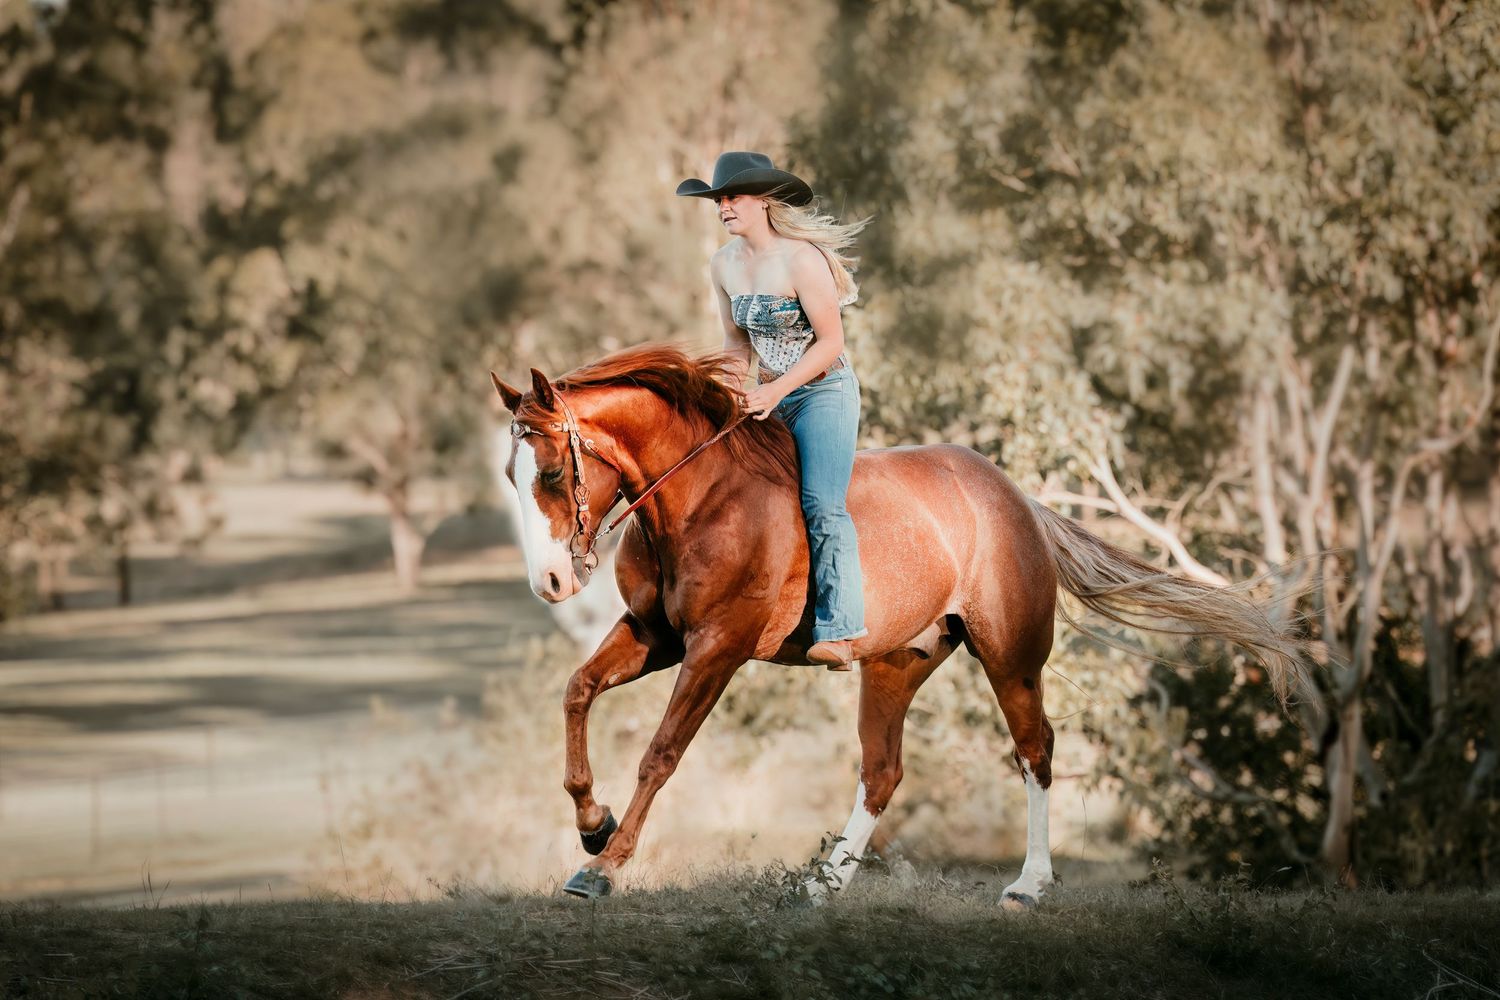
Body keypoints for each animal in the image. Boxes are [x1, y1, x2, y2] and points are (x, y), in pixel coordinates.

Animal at [491, 344, 1307, 907]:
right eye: (510, 476)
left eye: (553, 473)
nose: (552, 583)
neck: (700, 497)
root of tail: (1018, 500)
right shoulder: (653, 636)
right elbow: (577, 691)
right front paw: (591, 820)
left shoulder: (716, 649)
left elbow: (661, 754)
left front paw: (602, 866)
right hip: (895, 665)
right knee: (882, 772)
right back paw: (821, 886)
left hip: (1010, 659)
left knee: (1035, 751)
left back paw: (1028, 886)